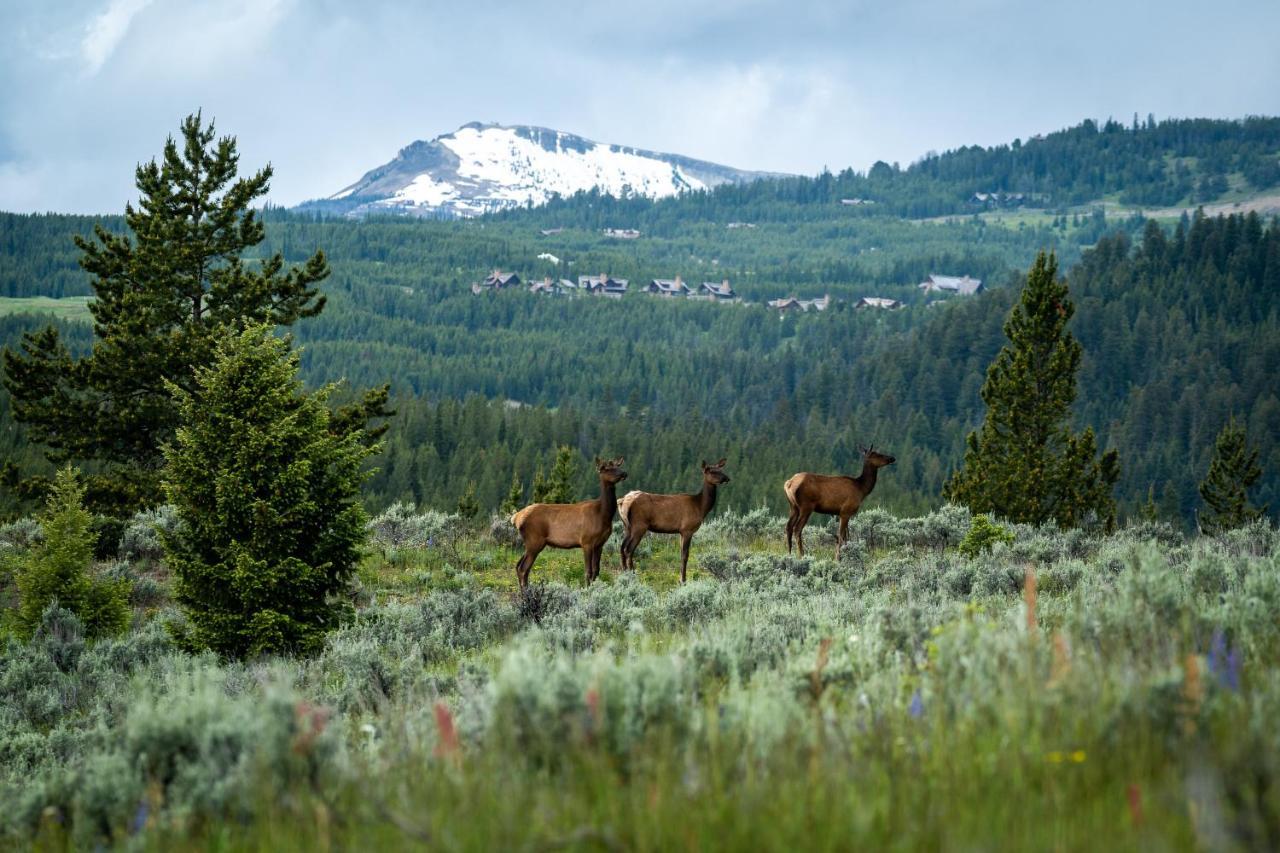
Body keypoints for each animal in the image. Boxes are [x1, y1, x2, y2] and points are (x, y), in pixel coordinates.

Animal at [512, 455, 627, 589]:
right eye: (607, 469)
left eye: (617, 466)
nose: (624, 473)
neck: (603, 515)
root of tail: (517, 518)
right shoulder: (586, 541)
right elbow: (588, 571)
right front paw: (587, 589)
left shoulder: (600, 544)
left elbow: (597, 571)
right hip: (534, 541)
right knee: (523, 568)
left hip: (530, 543)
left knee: (518, 566)